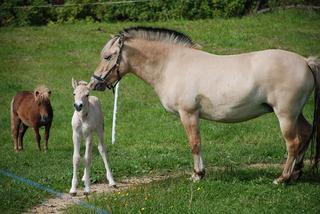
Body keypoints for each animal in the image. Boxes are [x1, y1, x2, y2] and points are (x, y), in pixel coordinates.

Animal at [88, 26, 320, 184]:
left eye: (107, 57)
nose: (94, 83)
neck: (171, 64)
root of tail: (305, 62)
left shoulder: (188, 113)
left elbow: (194, 143)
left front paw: (197, 175)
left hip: (285, 115)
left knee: (293, 142)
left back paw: (283, 178)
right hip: (296, 113)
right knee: (306, 134)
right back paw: (296, 173)